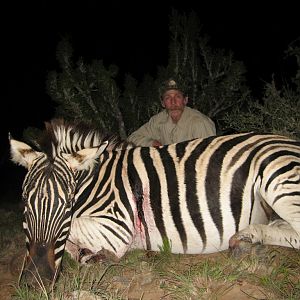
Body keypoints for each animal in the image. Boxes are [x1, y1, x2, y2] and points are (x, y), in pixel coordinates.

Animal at [9, 118, 300, 288]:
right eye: (24, 203)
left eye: (68, 204)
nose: (36, 281)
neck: (98, 180)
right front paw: (85, 255)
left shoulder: (116, 226)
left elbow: (74, 232)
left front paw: (95, 256)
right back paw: (247, 238)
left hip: (278, 176)